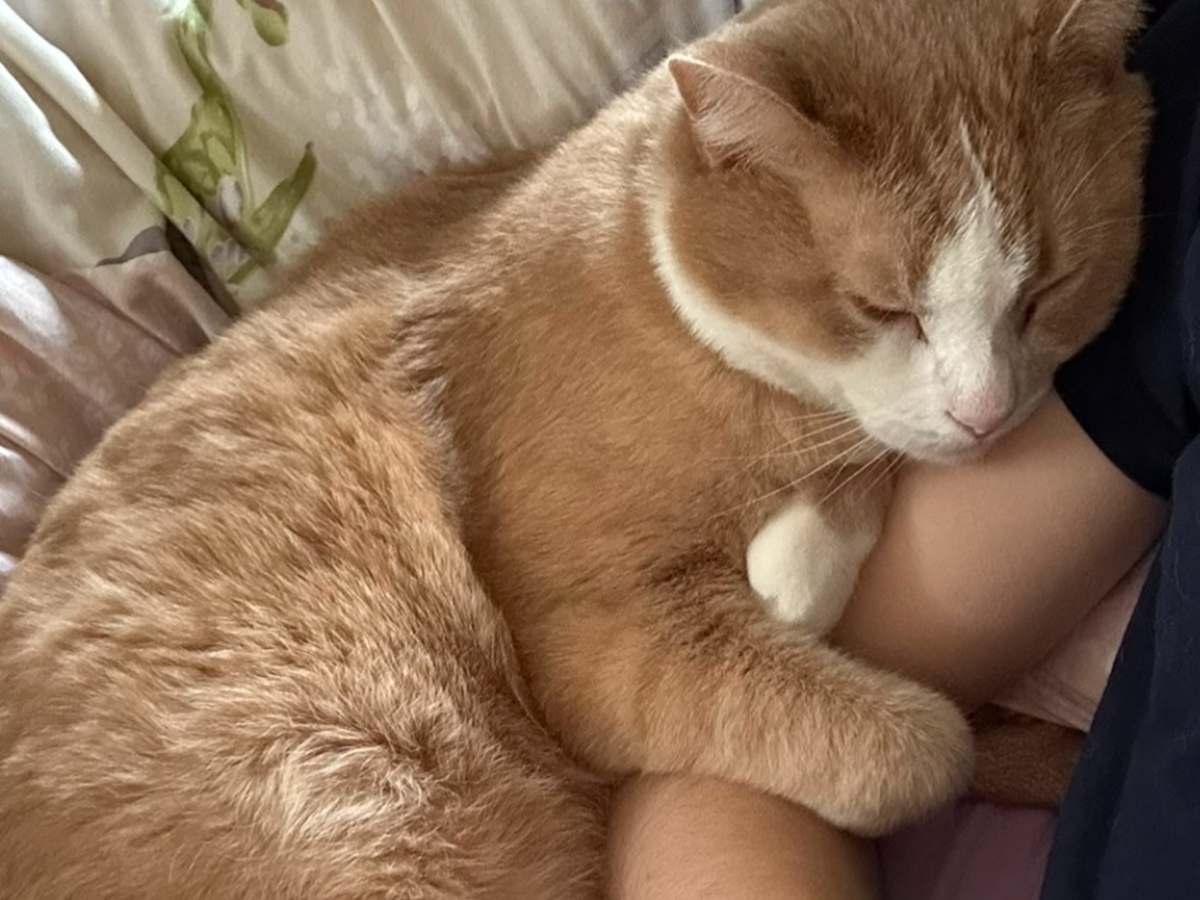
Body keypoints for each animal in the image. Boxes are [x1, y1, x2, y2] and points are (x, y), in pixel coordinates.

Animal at [0, 0, 1150, 897]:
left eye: (1047, 293)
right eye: (883, 308)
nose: (989, 414)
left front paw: (811, 548)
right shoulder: (582, 636)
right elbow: (898, 740)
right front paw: (825, 616)